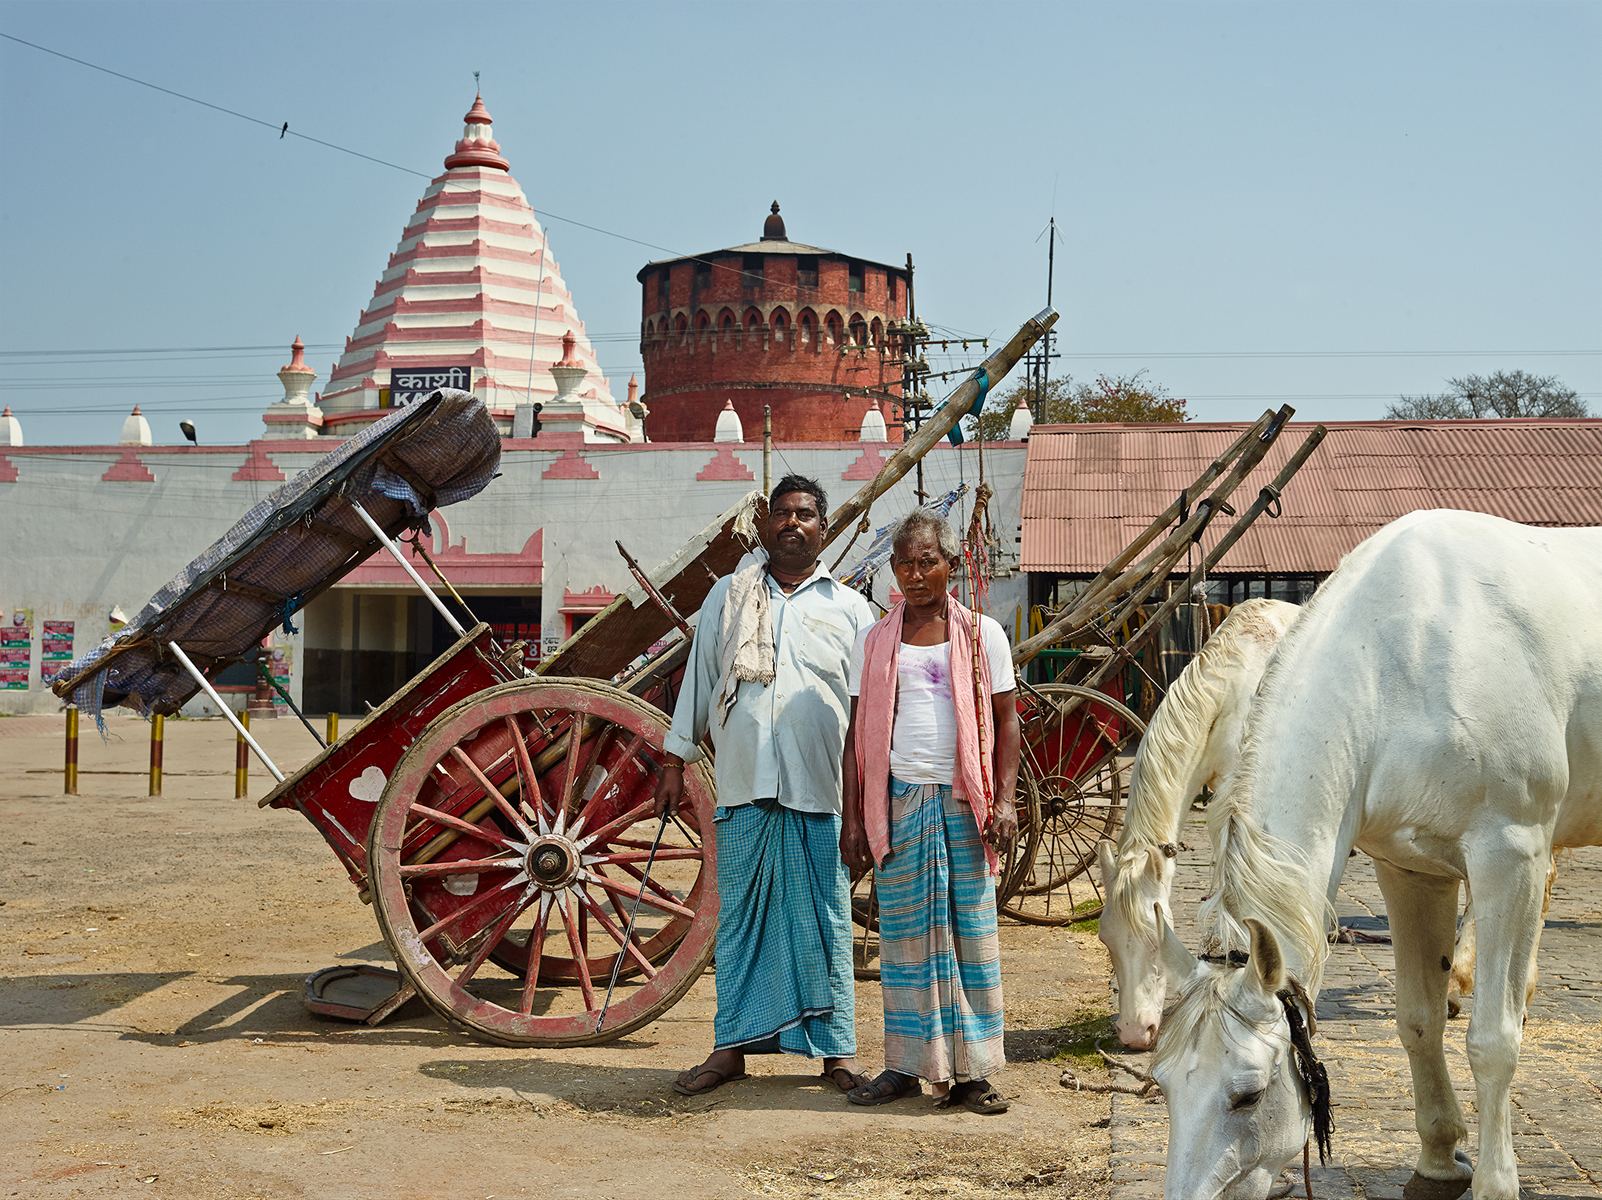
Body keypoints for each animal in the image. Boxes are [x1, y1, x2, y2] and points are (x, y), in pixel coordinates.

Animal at [1153, 509, 1602, 1198]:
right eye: (1165, 1087)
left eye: (1248, 1096)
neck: (1407, 658)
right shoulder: (1409, 869)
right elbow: (1418, 1019)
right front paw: (1438, 1160)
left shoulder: (1510, 855)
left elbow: (1492, 1040)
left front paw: (1495, 1181)